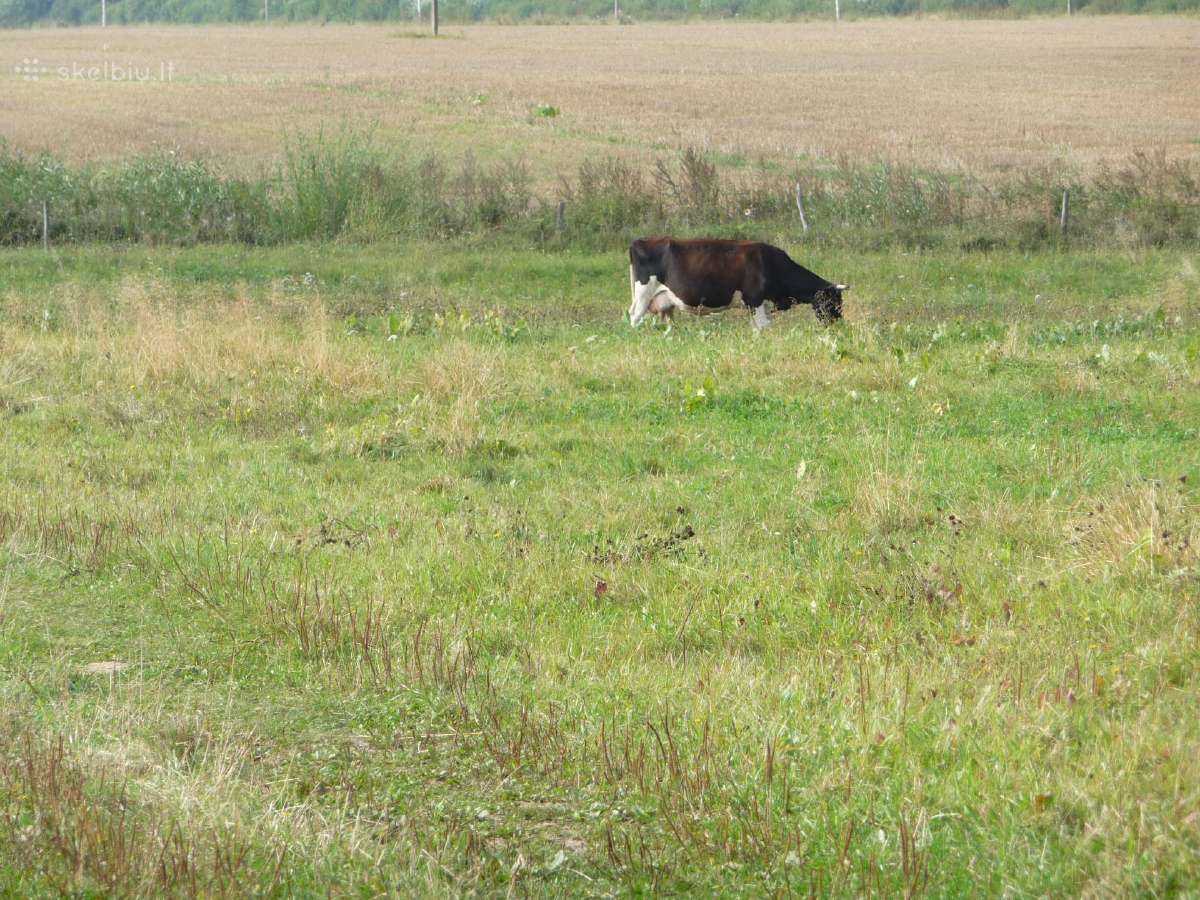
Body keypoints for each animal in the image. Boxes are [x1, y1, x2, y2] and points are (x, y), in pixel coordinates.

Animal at [628, 240, 844, 331]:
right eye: (833, 302)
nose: (838, 325)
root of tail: (640, 241)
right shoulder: (755, 300)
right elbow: (763, 327)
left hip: (662, 301)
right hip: (643, 293)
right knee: (634, 317)